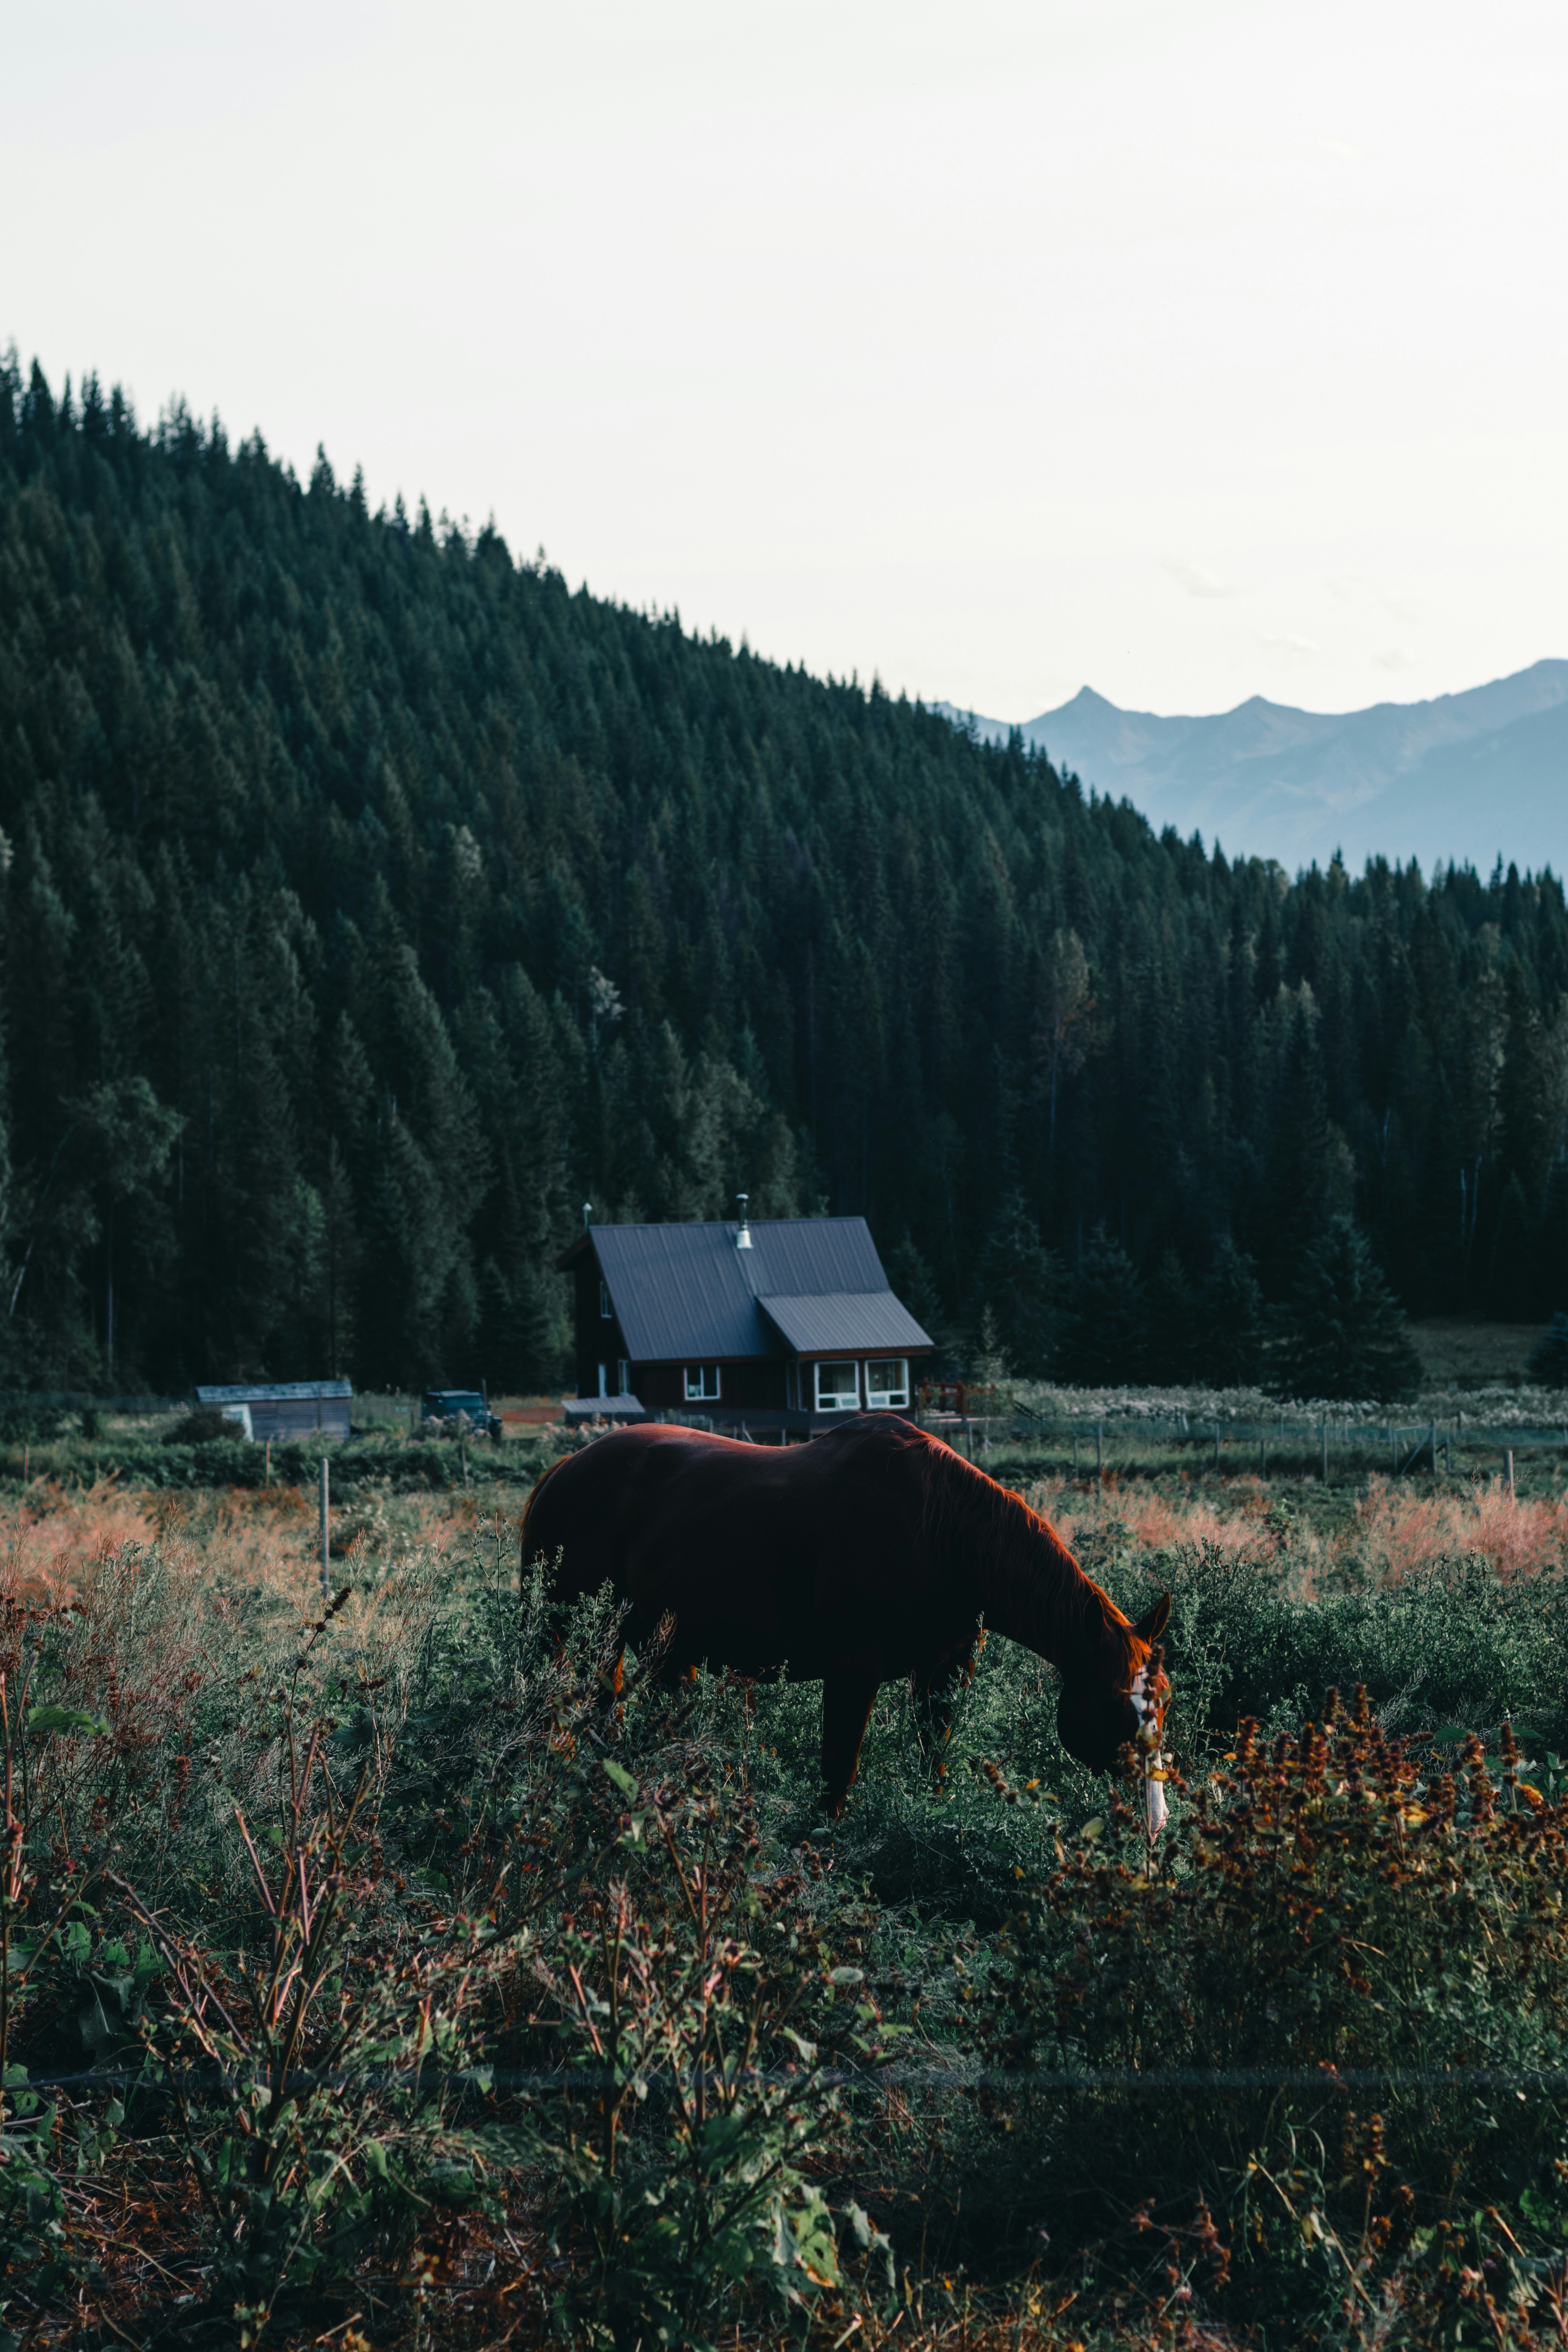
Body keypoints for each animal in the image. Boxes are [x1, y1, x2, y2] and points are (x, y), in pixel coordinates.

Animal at [522, 1402, 1171, 1825]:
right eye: (1118, 1707)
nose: (1157, 1821)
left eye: (1162, 1700)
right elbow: (839, 1773)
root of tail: (561, 1472)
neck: (941, 1533)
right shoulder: (853, 1672)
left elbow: (935, 1759)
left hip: (660, 1649)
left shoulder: (944, 1672)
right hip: (568, 1634)